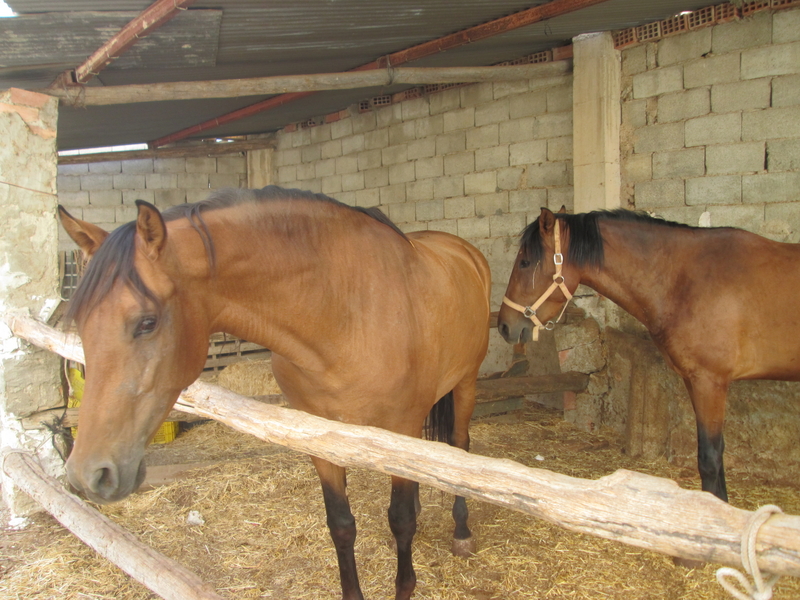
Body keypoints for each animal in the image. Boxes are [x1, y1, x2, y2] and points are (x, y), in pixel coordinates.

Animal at [58, 186, 491, 600]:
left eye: (146, 322)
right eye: (80, 321)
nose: (88, 474)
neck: (347, 313)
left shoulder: (400, 424)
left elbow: (401, 520)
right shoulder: (321, 439)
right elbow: (341, 524)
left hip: (465, 384)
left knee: (460, 445)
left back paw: (462, 531)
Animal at [497, 206, 800, 503]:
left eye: (525, 263)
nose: (503, 325)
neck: (688, 280)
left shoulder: (710, 382)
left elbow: (710, 459)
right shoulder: (694, 381)